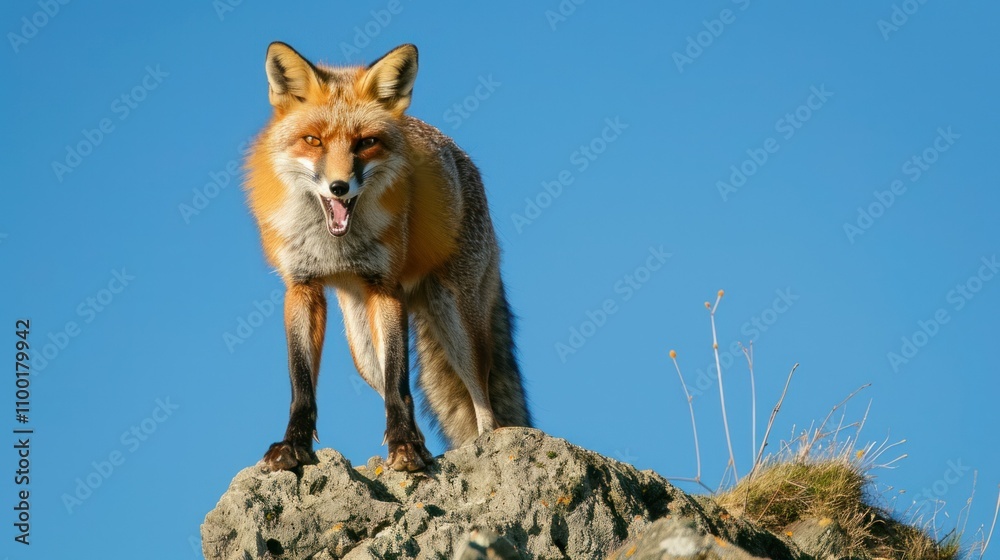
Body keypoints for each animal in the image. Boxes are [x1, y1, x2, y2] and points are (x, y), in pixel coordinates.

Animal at [243, 42, 531, 472]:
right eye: (313, 140)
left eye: (366, 142)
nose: (339, 186)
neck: (335, 248)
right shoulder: (301, 287)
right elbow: (302, 384)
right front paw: (293, 446)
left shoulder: (386, 286)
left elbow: (400, 381)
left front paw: (405, 448)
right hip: (363, 349)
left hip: (456, 319)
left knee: (481, 395)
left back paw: (483, 444)